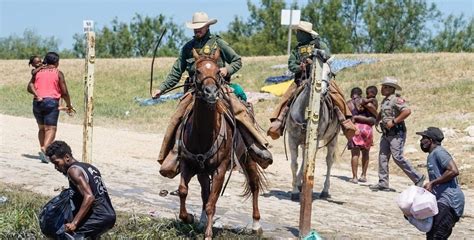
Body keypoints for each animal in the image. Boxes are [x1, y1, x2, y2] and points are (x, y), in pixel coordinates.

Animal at [177, 48, 264, 238]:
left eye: (218, 71)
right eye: (197, 71)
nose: (210, 92)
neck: (203, 134)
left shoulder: (220, 169)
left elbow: (212, 203)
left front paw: (208, 234)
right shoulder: (188, 164)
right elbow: (184, 191)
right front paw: (189, 218)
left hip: (248, 157)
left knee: (254, 184)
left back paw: (256, 225)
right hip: (203, 172)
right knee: (204, 192)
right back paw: (202, 220)